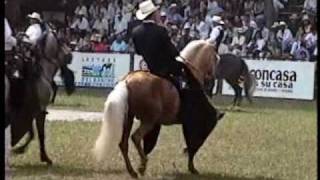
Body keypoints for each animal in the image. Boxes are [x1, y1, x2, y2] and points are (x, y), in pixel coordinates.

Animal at [8, 25, 75, 165]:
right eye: (62, 40)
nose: (70, 56)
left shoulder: (31, 111)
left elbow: (32, 132)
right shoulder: (39, 111)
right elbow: (39, 134)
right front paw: (43, 156)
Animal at [92, 39, 224, 177]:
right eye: (215, 58)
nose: (212, 80)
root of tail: (126, 81)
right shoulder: (192, 125)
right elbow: (192, 146)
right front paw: (192, 168)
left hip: (128, 119)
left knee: (124, 143)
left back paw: (133, 171)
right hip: (148, 121)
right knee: (136, 137)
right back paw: (142, 165)